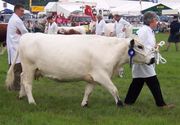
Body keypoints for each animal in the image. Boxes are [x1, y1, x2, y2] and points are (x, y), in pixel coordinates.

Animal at [5, 33, 155, 107]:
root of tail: (27, 35)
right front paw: (119, 103)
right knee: (27, 83)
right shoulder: (102, 75)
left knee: (22, 78)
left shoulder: (92, 77)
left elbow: (88, 91)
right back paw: (31, 101)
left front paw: (84, 104)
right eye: (140, 46)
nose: (153, 59)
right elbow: (114, 89)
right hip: (29, 67)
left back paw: (21, 96)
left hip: (29, 69)